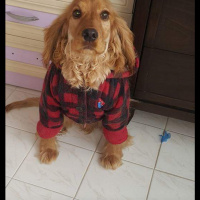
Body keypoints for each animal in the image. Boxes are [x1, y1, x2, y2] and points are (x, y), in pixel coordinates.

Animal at [5, 0, 139, 170]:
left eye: (104, 15)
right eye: (76, 13)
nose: (90, 34)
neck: (86, 68)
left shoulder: (119, 108)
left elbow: (115, 135)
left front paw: (112, 155)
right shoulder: (49, 100)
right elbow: (48, 127)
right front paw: (48, 149)